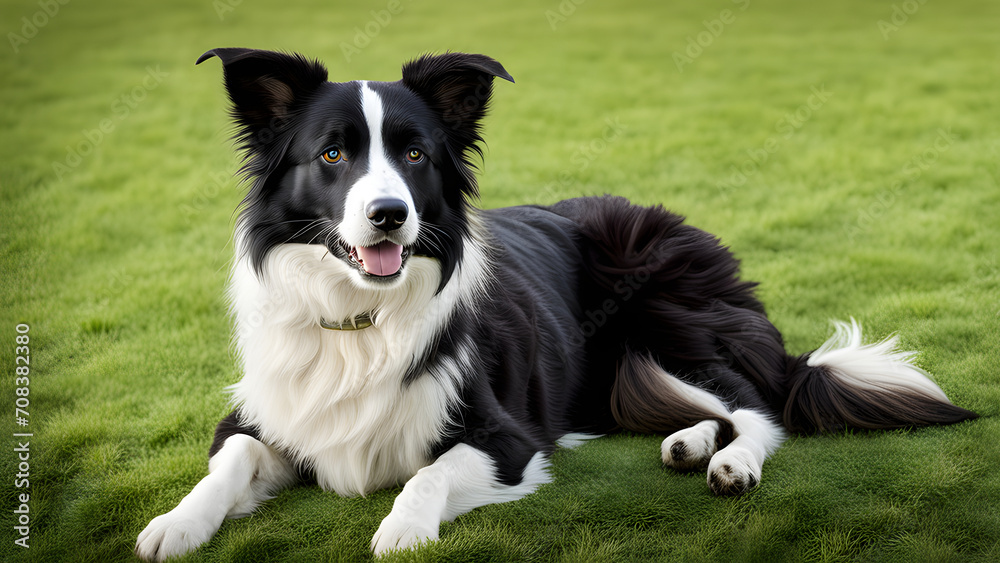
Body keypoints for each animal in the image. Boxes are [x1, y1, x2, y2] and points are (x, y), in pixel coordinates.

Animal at [137, 49, 972, 560]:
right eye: (332, 154)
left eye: (415, 154)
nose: (389, 214)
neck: (360, 320)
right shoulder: (266, 413)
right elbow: (229, 461)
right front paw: (175, 523)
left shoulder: (506, 438)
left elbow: (426, 473)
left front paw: (403, 528)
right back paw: (689, 441)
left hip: (663, 320)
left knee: (757, 401)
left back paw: (731, 460)